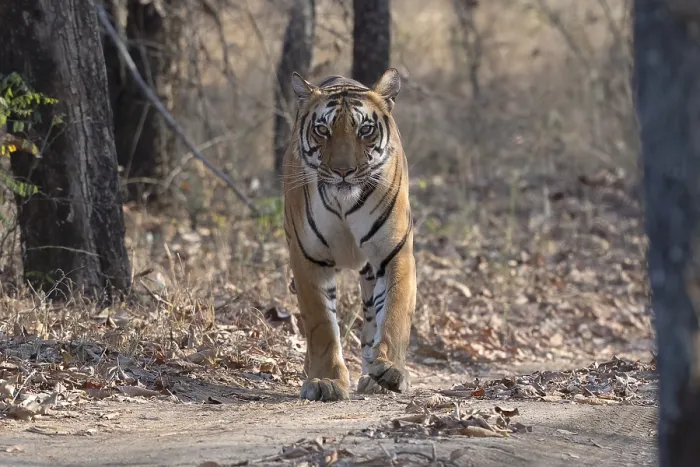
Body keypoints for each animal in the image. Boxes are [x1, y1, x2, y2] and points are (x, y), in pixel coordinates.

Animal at [282, 68, 416, 401]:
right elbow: (322, 325)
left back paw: (373, 375)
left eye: (365, 130)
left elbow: (395, 313)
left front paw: (391, 371)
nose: (343, 171)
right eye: (323, 130)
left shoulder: (395, 254)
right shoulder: (308, 259)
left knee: (371, 318)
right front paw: (325, 380)